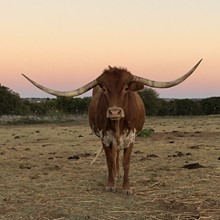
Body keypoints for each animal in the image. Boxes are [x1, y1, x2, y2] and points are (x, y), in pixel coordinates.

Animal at [22, 58, 203, 194]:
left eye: (126, 87)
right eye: (104, 88)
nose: (114, 112)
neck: (118, 123)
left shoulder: (131, 137)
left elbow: (126, 162)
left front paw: (126, 187)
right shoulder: (105, 137)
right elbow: (109, 160)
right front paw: (110, 184)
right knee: (114, 155)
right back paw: (115, 175)